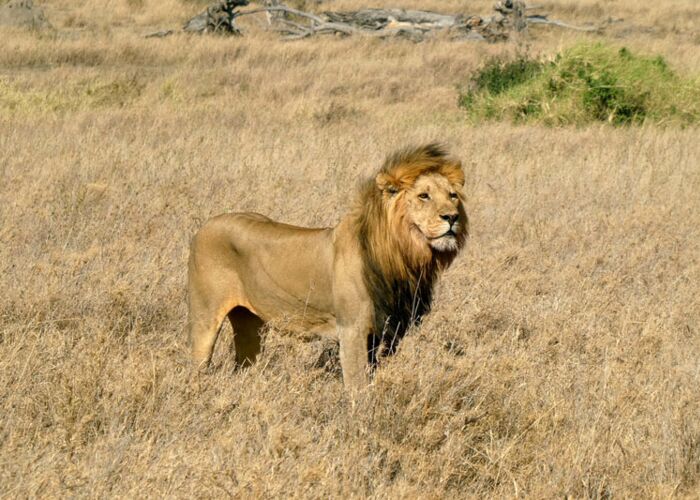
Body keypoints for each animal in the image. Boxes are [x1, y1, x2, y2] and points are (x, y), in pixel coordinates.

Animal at [187, 143, 468, 390]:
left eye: (452, 196)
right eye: (424, 196)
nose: (452, 217)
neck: (404, 257)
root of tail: (205, 225)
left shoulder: (384, 332)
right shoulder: (352, 330)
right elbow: (357, 386)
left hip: (250, 324)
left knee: (243, 365)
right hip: (205, 318)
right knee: (199, 363)